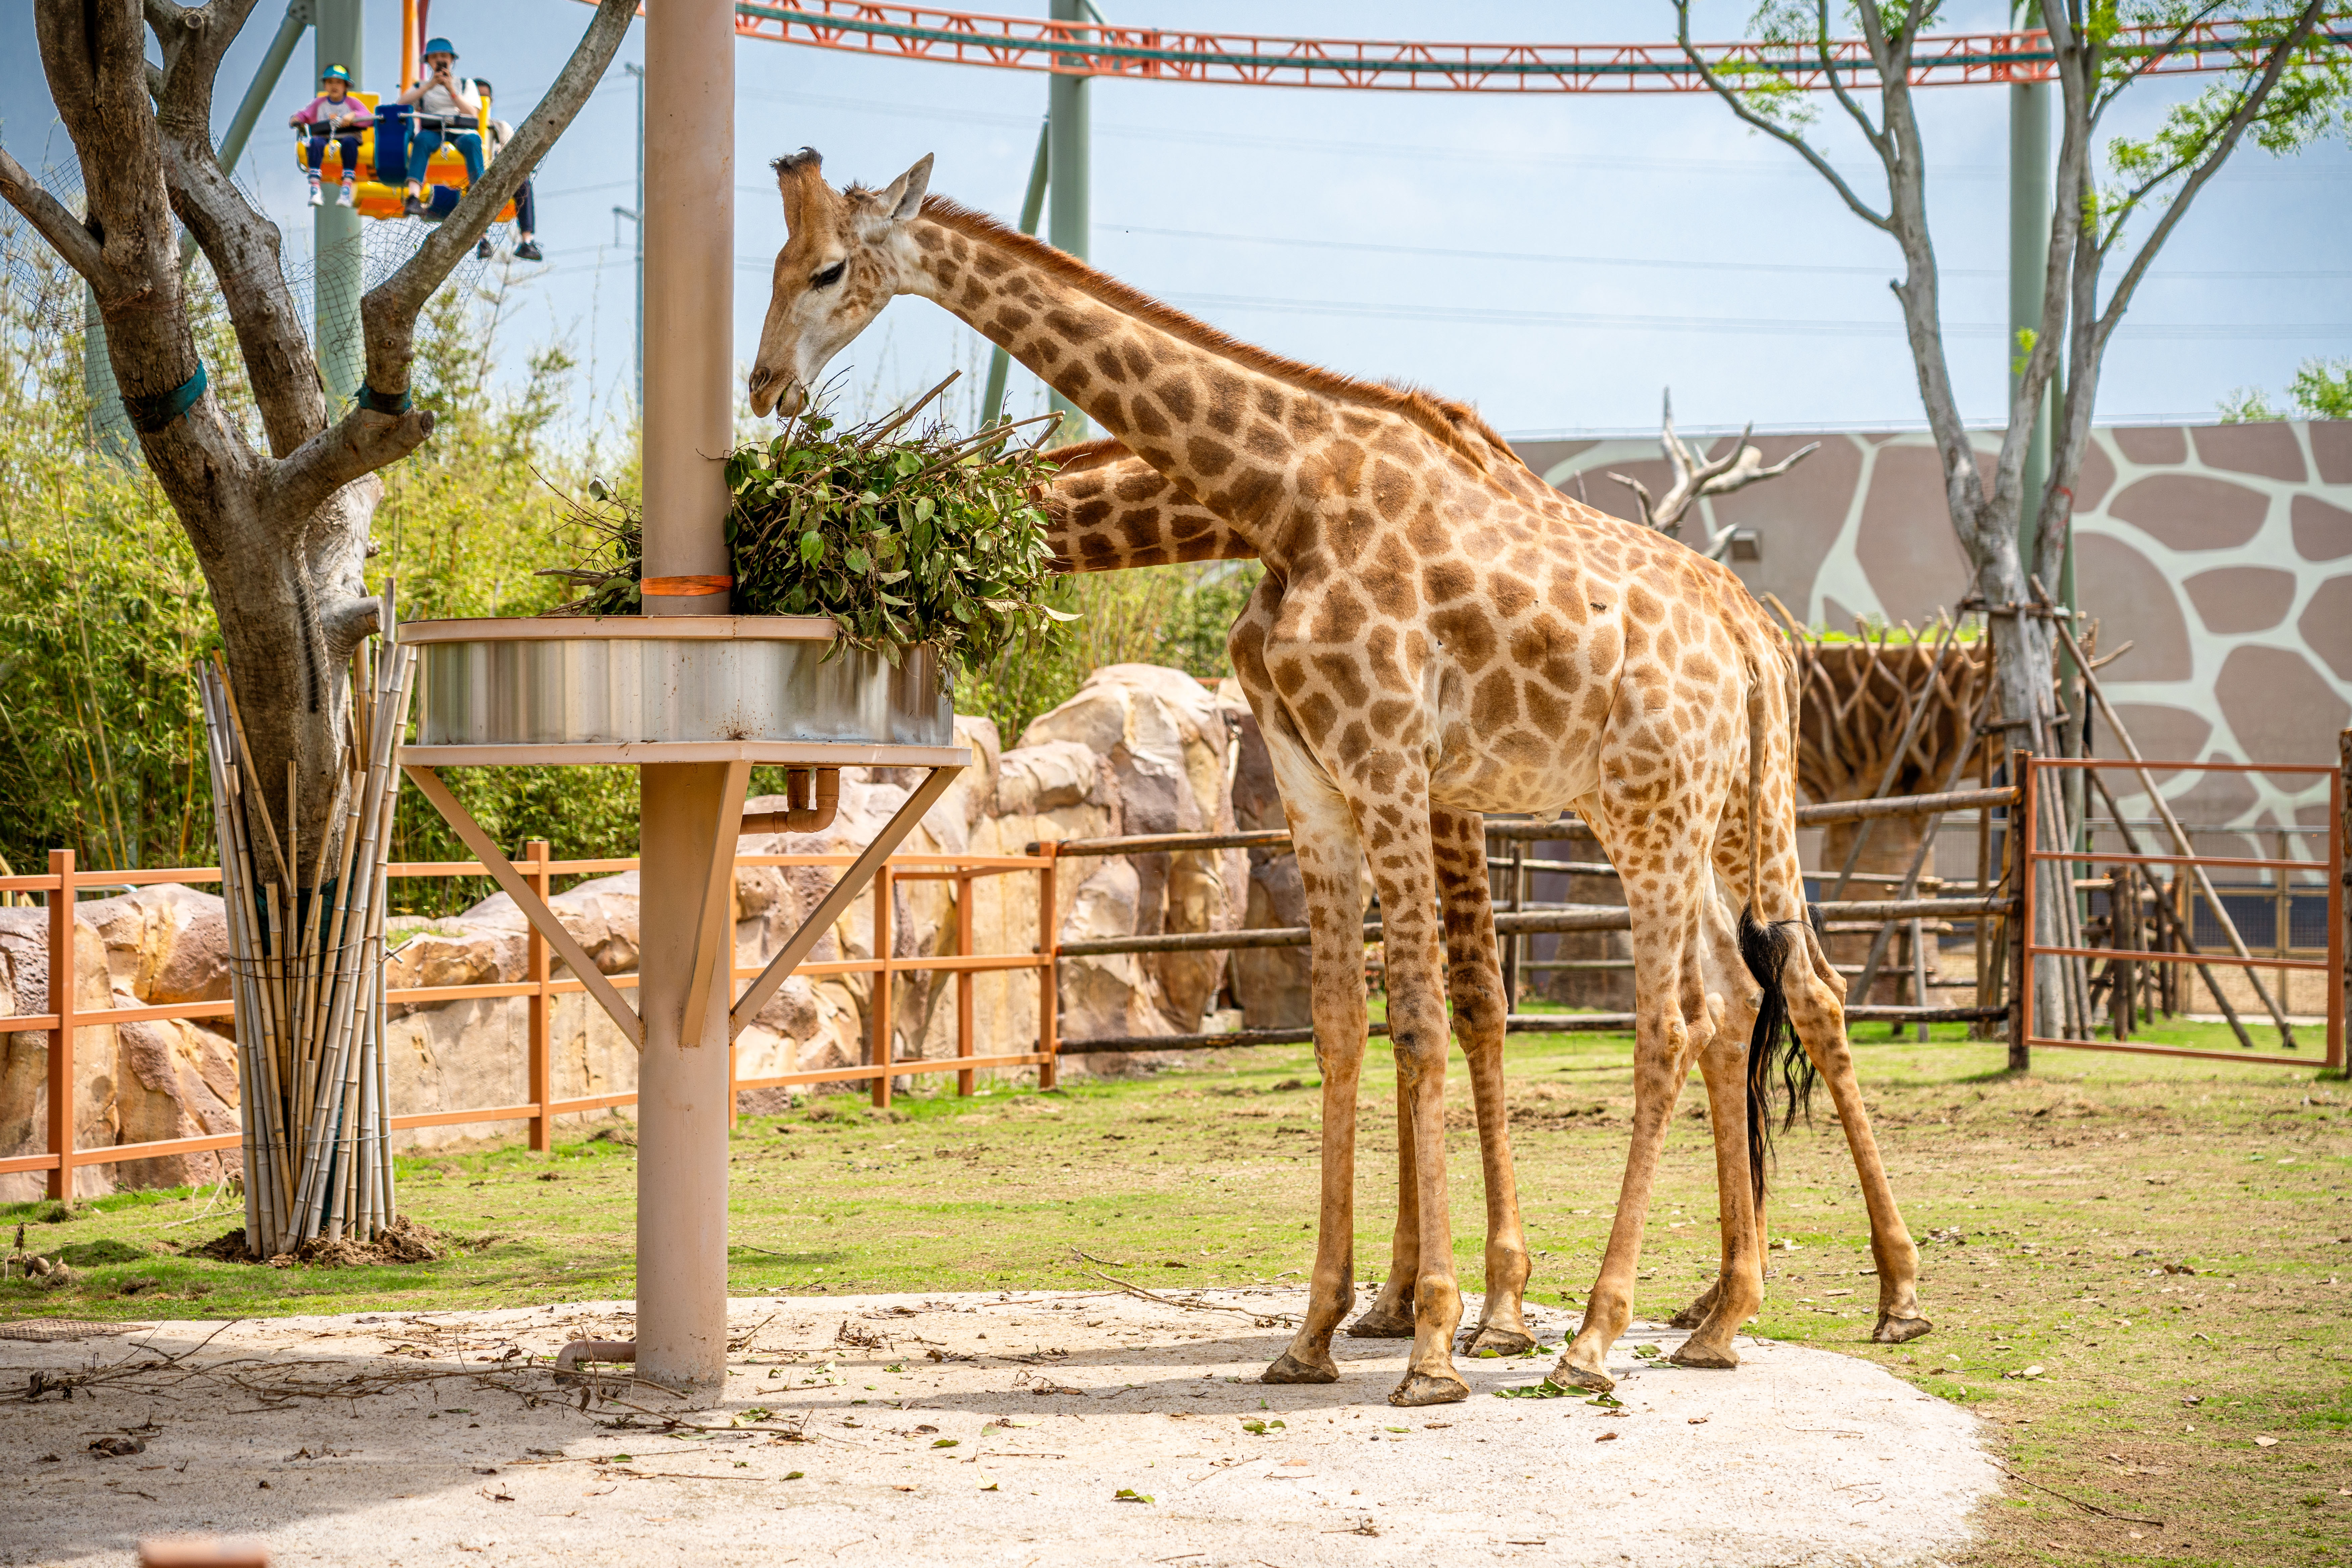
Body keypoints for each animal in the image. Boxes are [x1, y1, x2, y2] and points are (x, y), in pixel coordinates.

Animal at [752, 144, 1928, 1401]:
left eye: (827, 267)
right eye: (775, 259)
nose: (766, 386)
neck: (1281, 498)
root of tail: (1750, 639)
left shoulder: (1400, 768)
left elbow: (1435, 1016)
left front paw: (1447, 1332)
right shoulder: (1316, 780)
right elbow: (1337, 1025)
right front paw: (1324, 1326)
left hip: (1665, 816)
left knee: (1701, 1014)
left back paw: (1645, 1329)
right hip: (1691, 815)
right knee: (1748, 999)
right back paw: (1718, 1314)